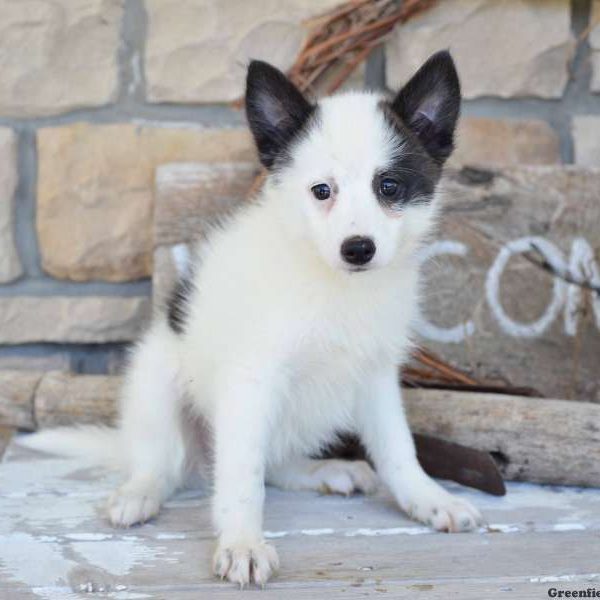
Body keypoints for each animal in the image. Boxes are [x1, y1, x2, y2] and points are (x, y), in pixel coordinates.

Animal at [21, 50, 486, 584]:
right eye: (321, 191)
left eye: (389, 187)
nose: (358, 249)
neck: (333, 283)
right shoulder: (251, 380)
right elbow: (242, 476)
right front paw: (242, 543)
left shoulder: (375, 375)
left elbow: (398, 448)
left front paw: (428, 499)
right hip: (157, 382)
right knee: (166, 460)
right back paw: (141, 491)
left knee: (273, 462)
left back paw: (323, 470)